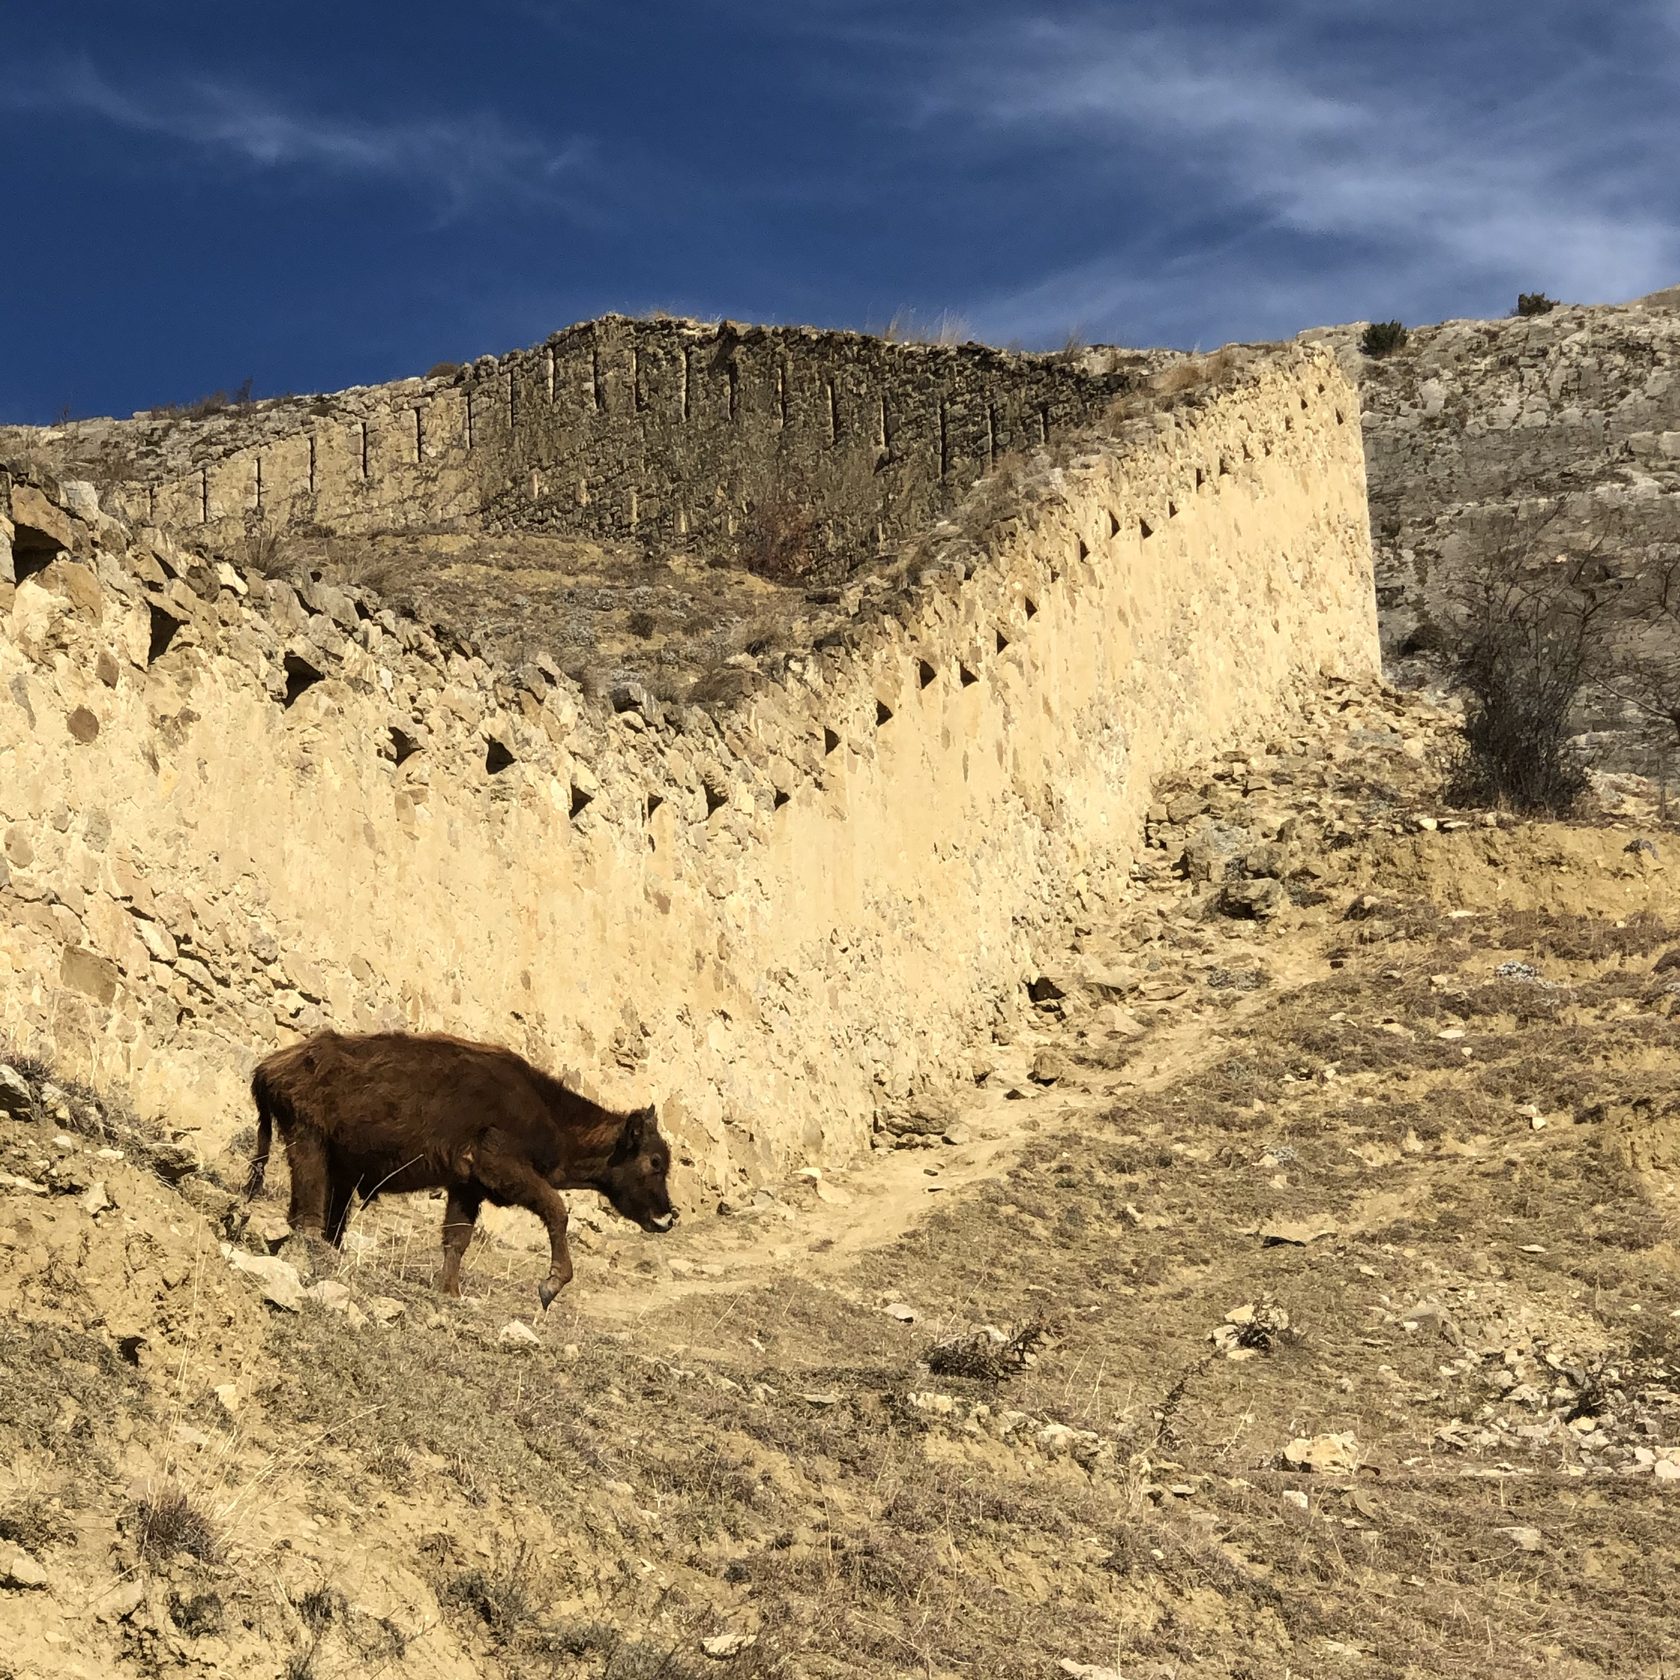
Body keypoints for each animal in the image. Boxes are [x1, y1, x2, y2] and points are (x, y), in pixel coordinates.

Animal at [243, 1028, 675, 1303]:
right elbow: (557, 1209)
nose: (668, 1216)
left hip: (340, 1170)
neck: (546, 1110)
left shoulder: (467, 1188)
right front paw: (551, 1286)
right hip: (309, 1143)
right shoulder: (501, 1169)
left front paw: (450, 1292)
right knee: (307, 1214)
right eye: (654, 1160)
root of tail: (271, 1066)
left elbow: (457, 1239)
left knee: (330, 1222)